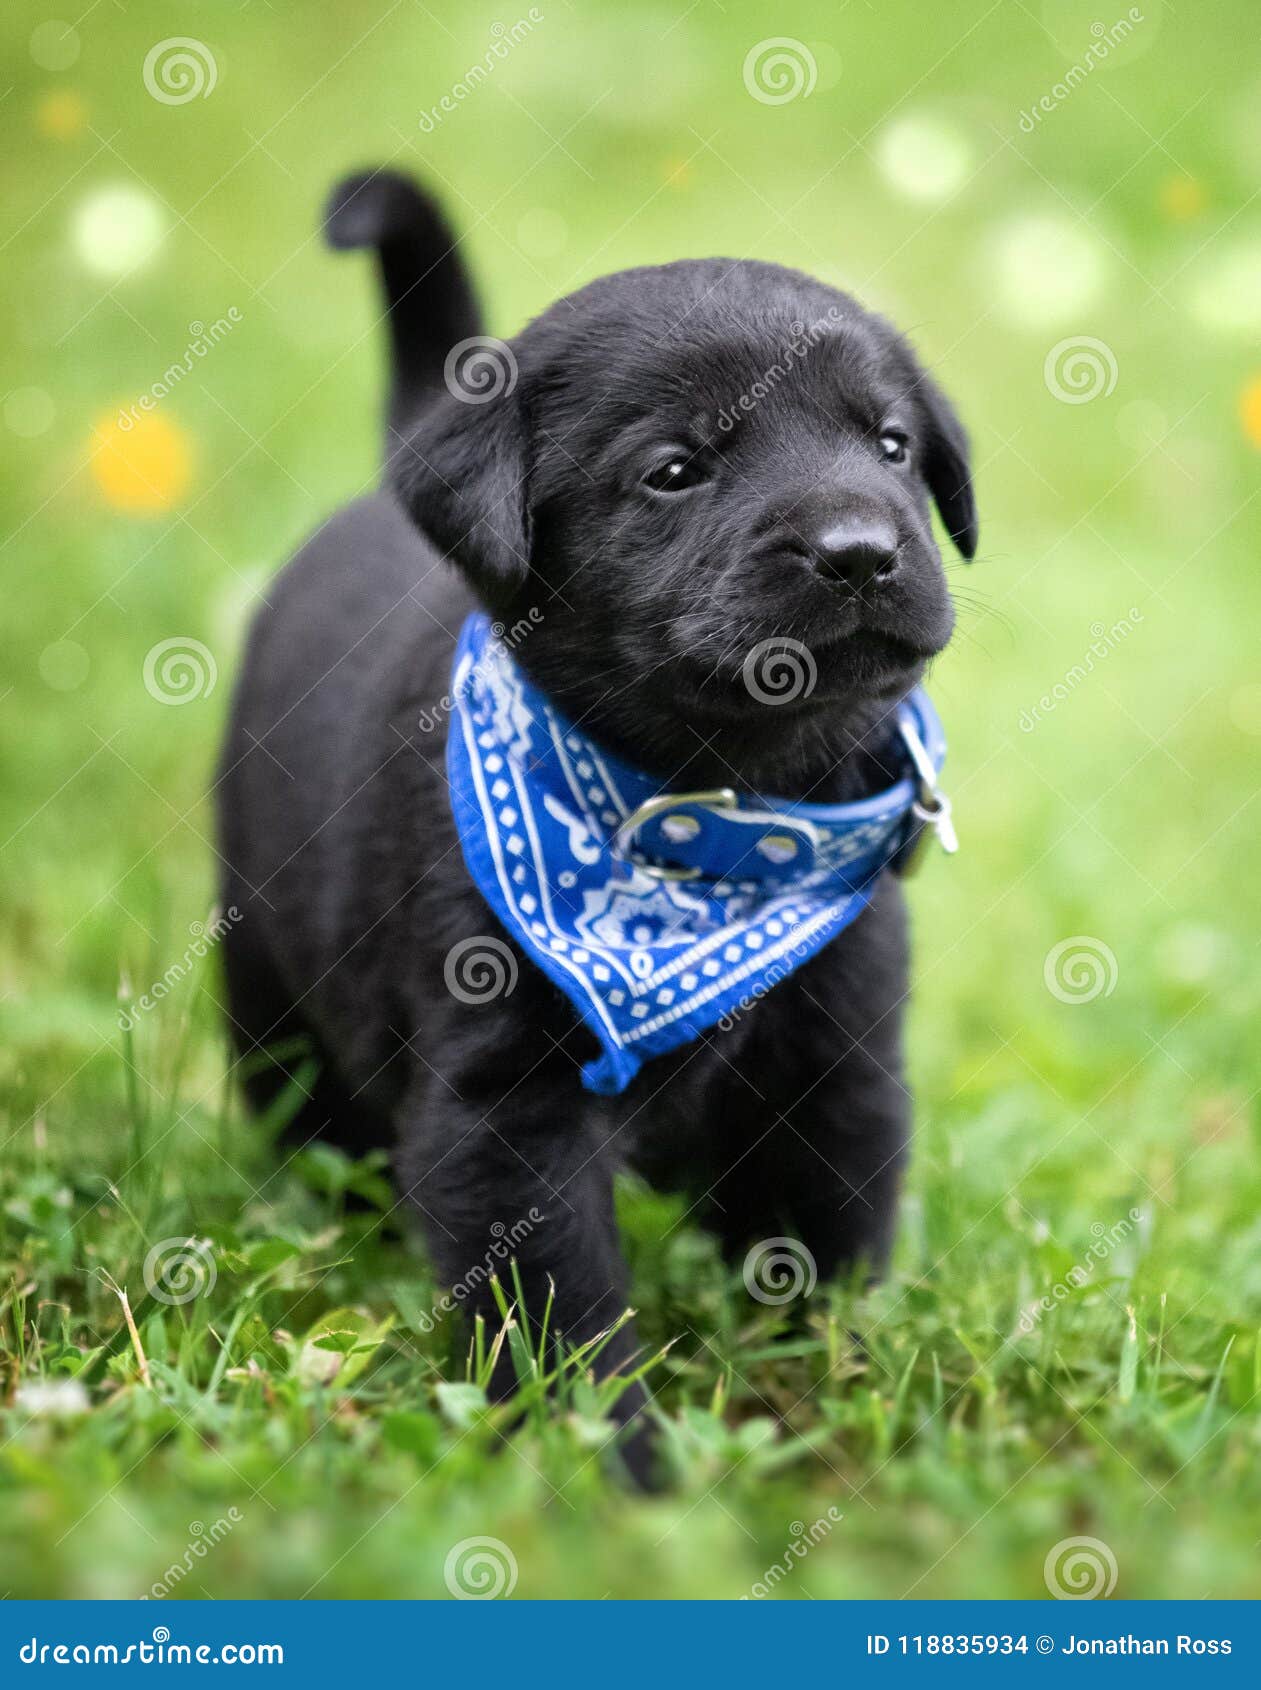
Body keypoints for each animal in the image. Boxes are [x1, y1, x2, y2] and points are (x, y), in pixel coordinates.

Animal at [218, 168, 973, 1480]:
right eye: (673, 471)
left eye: (891, 445)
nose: (862, 551)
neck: (718, 826)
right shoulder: (504, 1118)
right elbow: (559, 1325)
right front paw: (613, 1478)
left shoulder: (837, 1073)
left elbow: (822, 1257)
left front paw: (832, 1402)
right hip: (267, 979)